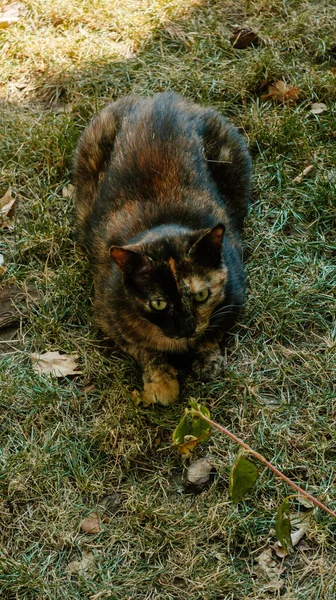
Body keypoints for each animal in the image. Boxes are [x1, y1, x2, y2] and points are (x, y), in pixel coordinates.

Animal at [74, 91, 252, 406]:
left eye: (202, 295)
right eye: (158, 303)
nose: (186, 329)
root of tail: (161, 100)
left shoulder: (234, 296)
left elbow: (213, 332)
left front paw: (208, 362)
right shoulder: (109, 317)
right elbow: (145, 350)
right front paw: (162, 383)